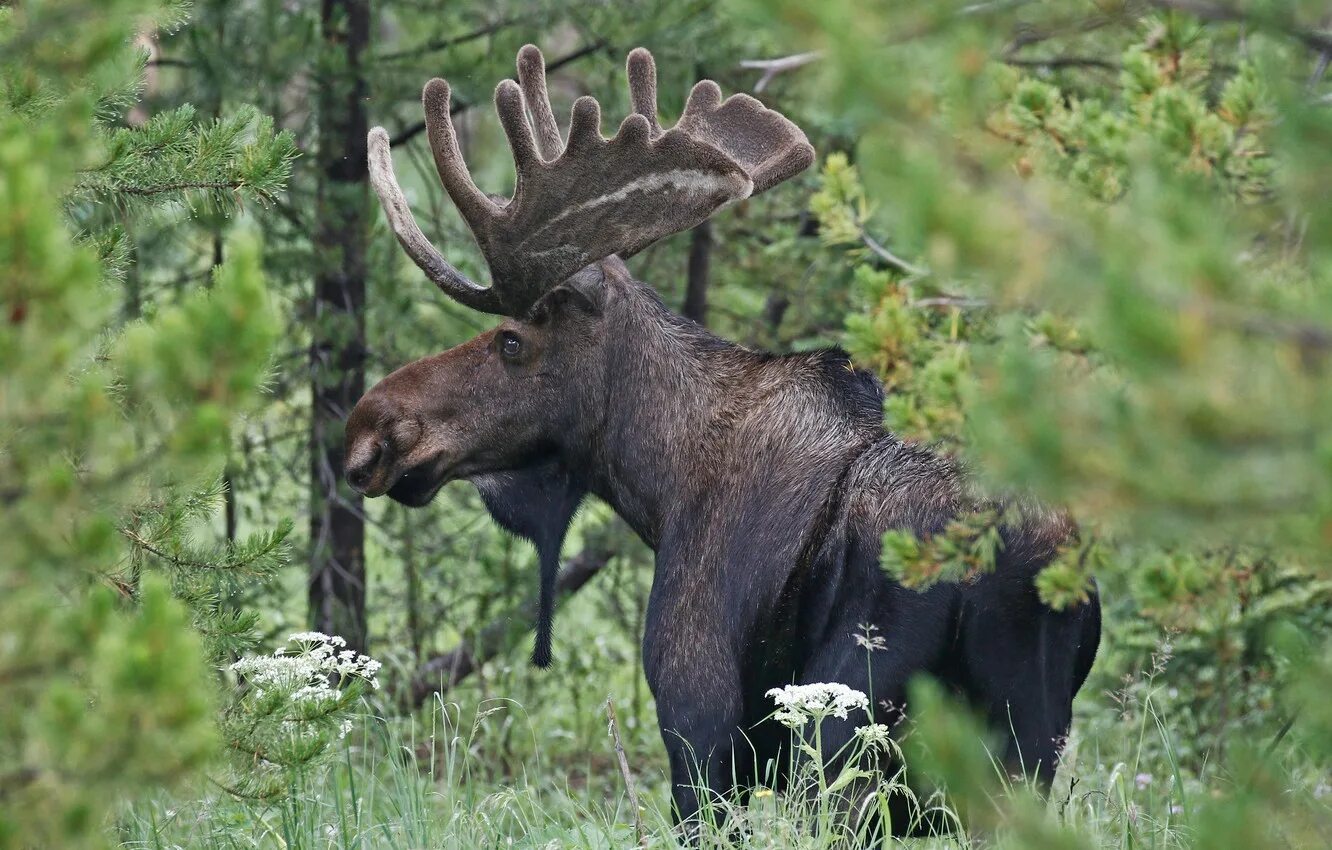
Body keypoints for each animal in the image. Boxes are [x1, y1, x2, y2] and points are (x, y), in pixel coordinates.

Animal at [346, 46, 1102, 842]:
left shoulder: (698, 712)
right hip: (1024, 744)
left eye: (512, 341)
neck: (660, 485)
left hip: (844, 725)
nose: (371, 431)